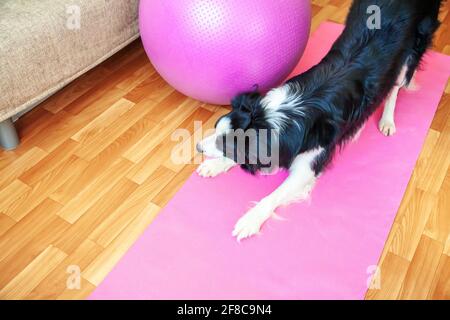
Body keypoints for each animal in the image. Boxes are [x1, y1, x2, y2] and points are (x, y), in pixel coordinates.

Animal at [195, 0, 442, 240]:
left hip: (413, 45)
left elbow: (273, 195)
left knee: (395, 85)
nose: (197, 147)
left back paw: (387, 120)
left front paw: (250, 220)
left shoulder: (309, 165)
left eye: (224, 144)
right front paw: (215, 165)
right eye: (216, 130)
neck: (274, 118)